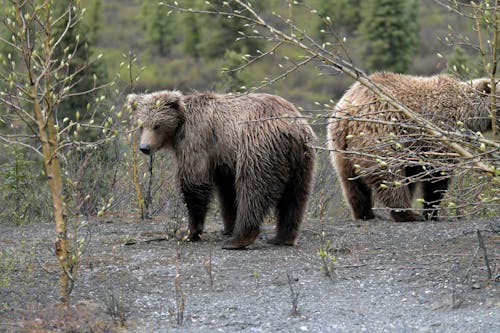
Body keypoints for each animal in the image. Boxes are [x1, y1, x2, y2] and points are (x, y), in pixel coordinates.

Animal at [129, 89, 316, 248]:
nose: (144, 147)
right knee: (296, 195)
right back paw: (283, 237)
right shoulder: (223, 158)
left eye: (157, 125)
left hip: (258, 147)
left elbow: (194, 182)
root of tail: (293, 128)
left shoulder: (197, 140)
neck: (179, 128)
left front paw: (190, 232)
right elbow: (226, 191)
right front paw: (227, 227)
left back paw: (238, 239)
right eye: (141, 125)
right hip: (302, 159)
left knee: (253, 189)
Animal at [328, 74, 496, 222]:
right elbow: (437, 174)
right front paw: (431, 212)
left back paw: (364, 213)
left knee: (351, 182)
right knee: (390, 177)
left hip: (341, 148)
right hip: (381, 133)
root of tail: (349, 109)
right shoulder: (440, 130)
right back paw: (407, 214)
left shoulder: (415, 149)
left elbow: (413, 175)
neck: (465, 111)